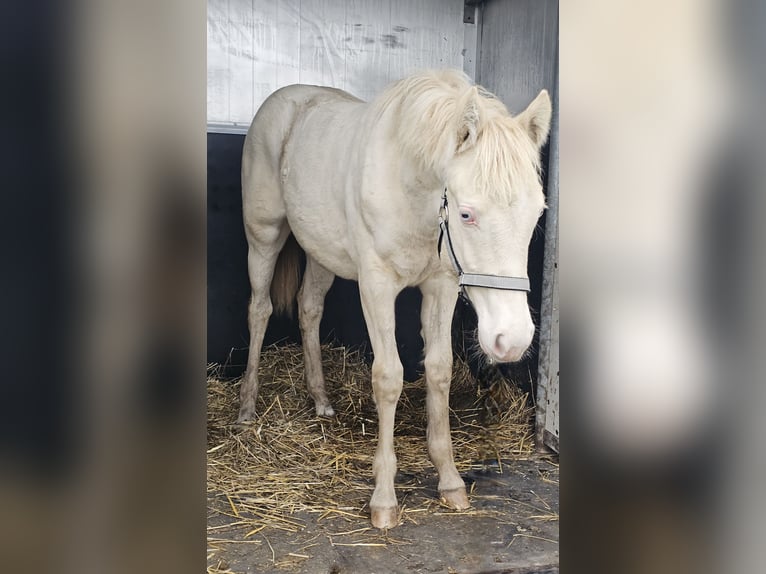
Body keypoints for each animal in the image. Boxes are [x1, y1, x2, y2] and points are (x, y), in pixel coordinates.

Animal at [238, 69, 551, 529]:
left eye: (537, 214)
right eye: (466, 214)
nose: (511, 341)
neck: (409, 186)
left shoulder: (441, 285)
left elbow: (438, 371)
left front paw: (450, 482)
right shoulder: (377, 285)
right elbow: (388, 378)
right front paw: (384, 500)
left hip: (321, 252)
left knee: (309, 309)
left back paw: (321, 401)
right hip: (263, 236)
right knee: (259, 310)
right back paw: (246, 407)